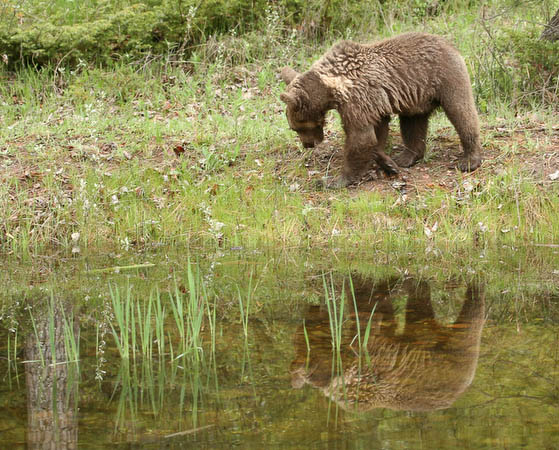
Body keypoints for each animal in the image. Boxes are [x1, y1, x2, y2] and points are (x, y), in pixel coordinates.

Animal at [282, 31, 484, 186]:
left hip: (447, 77)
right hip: (416, 98)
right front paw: (387, 163)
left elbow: (360, 138)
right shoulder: (372, 104)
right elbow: (376, 132)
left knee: (461, 112)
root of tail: (449, 44)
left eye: (295, 127)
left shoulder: (356, 101)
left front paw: (335, 180)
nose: (308, 144)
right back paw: (405, 158)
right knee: (413, 124)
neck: (332, 88)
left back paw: (469, 160)